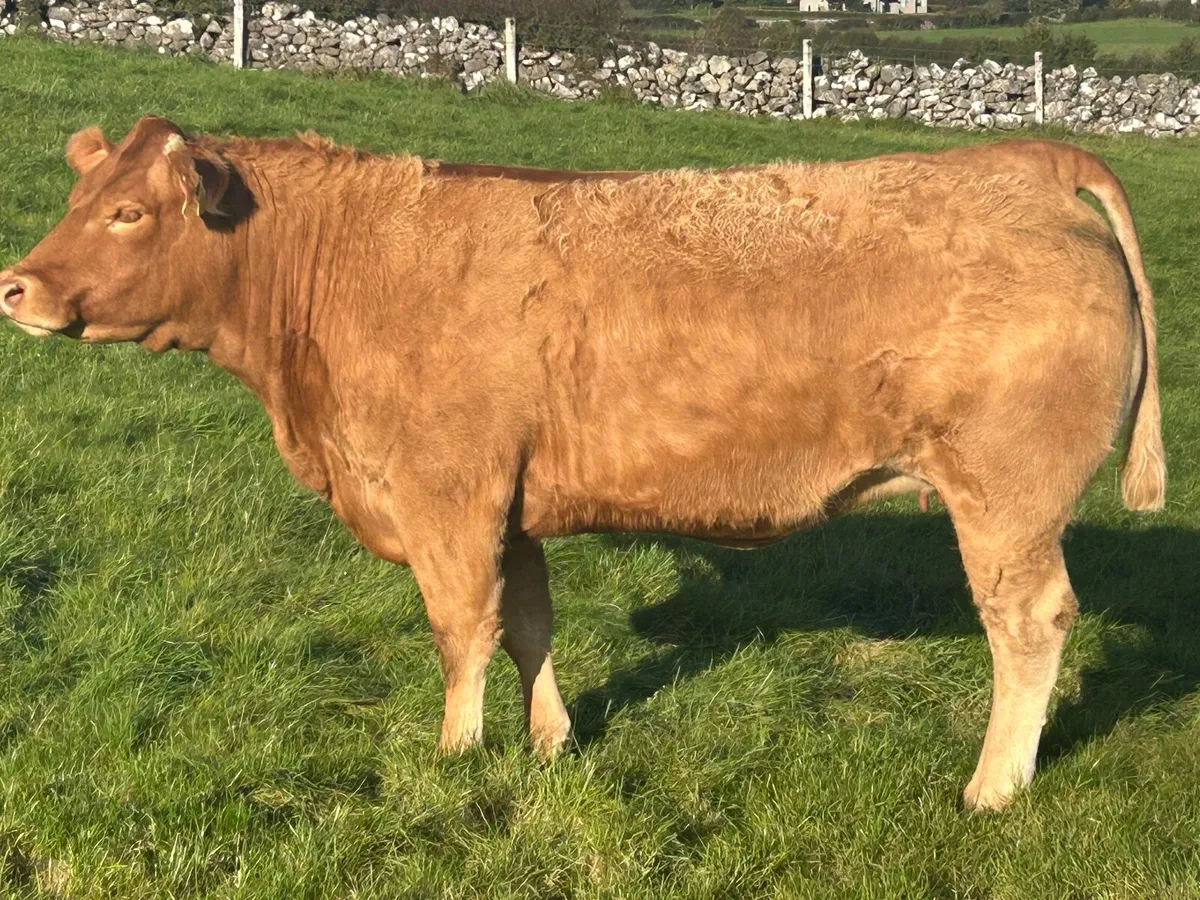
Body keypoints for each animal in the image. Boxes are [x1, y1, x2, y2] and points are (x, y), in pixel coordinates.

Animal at [0, 116, 1164, 810]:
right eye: (76, 199)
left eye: (127, 211)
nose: (18, 286)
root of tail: (1028, 160)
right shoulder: (510, 503)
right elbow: (527, 624)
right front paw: (550, 741)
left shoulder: (449, 495)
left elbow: (459, 629)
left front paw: (456, 755)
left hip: (1007, 500)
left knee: (1029, 624)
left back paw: (993, 788)